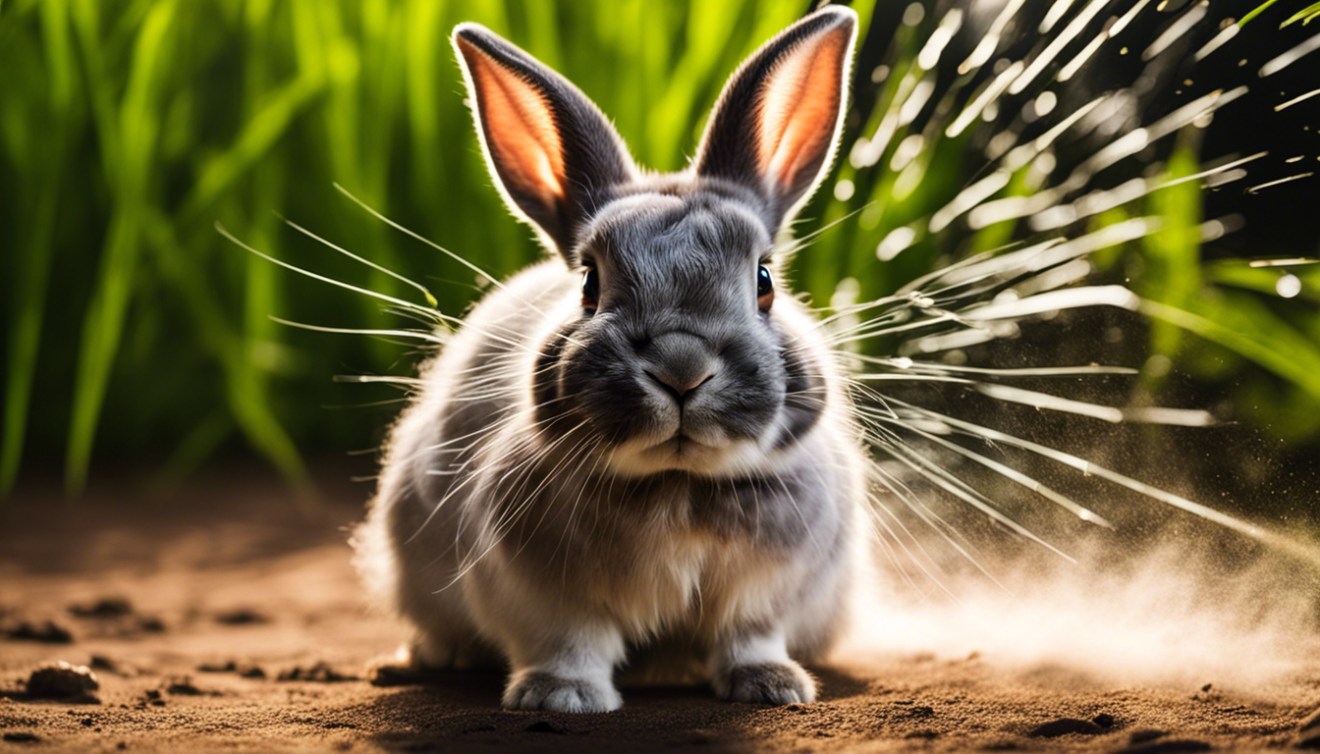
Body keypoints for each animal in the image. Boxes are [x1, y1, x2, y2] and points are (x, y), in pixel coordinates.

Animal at [352, 6, 866, 713]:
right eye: (590, 285)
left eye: (764, 281)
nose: (682, 369)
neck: (676, 484)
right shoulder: (544, 597)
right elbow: (571, 642)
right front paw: (559, 697)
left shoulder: (766, 593)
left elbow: (749, 636)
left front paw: (773, 687)